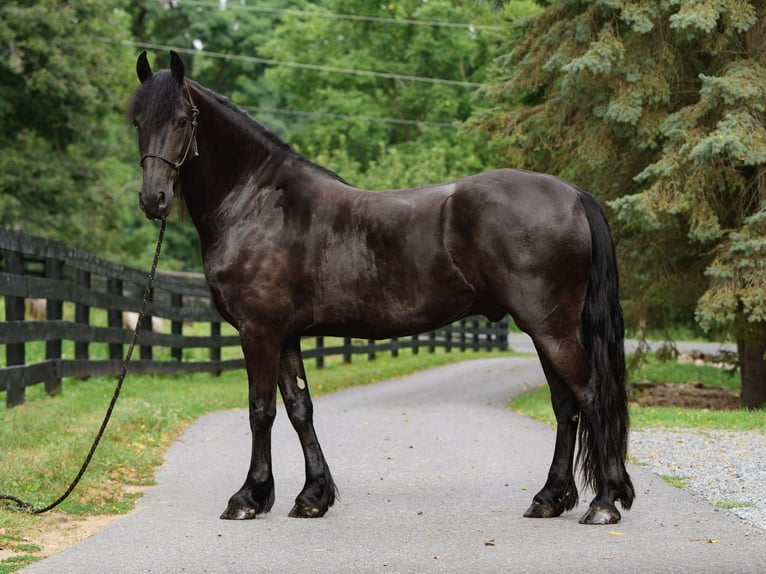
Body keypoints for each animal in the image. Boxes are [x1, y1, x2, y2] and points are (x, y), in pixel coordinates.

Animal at [128, 51, 634, 525]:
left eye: (181, 120)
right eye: (137, 121)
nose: (154, 200)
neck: (257, 202)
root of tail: (573, 194)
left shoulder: (259, 332)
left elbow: (260, 410)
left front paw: (248, 498)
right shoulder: (286, 335)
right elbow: (299, 408)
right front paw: (313, 496)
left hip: (550, 328)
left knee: (591, 396)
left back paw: (604, 503)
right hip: (544, 330)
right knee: (565, 405)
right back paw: (550, 498)